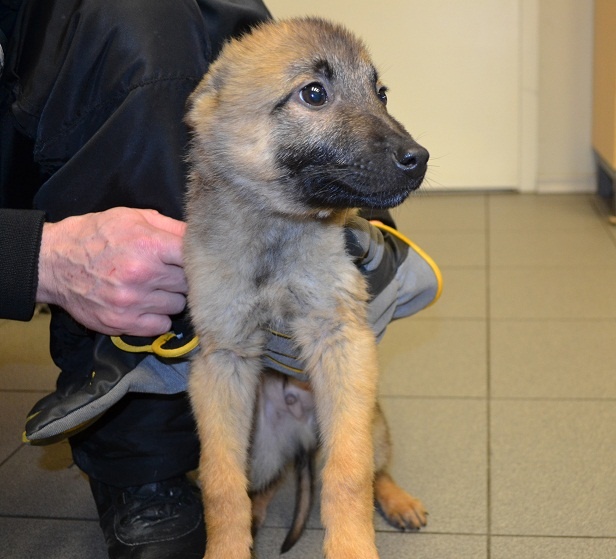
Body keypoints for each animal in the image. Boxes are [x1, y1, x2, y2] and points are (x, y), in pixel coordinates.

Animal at [184, 17, 429, 559]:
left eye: (381, 93)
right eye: (314, 93)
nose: (419, 158)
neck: (278, 229)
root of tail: (302, 439)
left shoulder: (343, 342)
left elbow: (349, 473)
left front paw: (352, 547)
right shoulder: (222, 361)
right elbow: (220, 483)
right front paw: (227, 546)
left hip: (372, 419)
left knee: (374, 467)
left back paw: (397, 500)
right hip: (260, 442)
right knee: (261, 484)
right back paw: (257, 518)